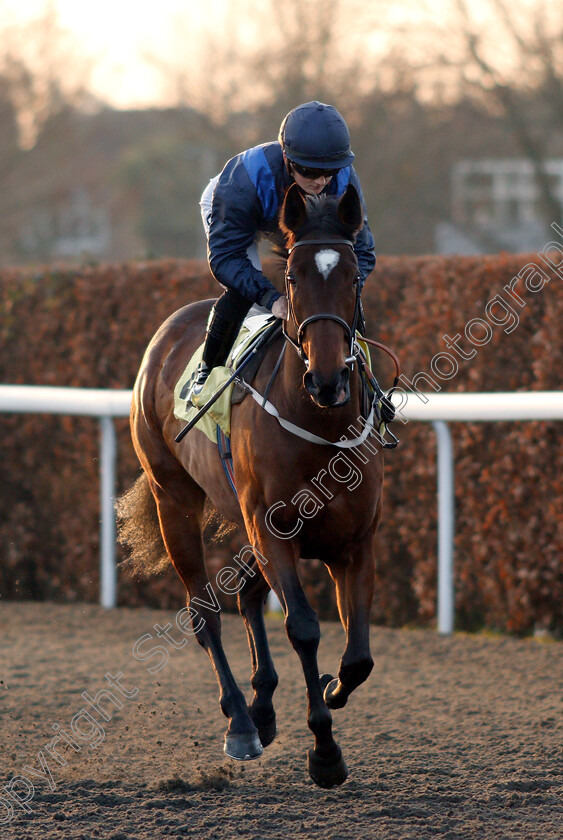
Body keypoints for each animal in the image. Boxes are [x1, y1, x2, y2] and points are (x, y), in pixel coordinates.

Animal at [118, 184, 384, 788]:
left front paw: (331, 689)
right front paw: (324, 752)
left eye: (353, 275)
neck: (319, 427)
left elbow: (358, 655)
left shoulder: (354, 542)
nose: (328, 380)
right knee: (204, 611)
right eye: (292, 278)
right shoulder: (274, 532)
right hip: (174, 500)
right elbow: (304, 628)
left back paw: (262, 708)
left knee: (244, 591)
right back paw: (241, 719)